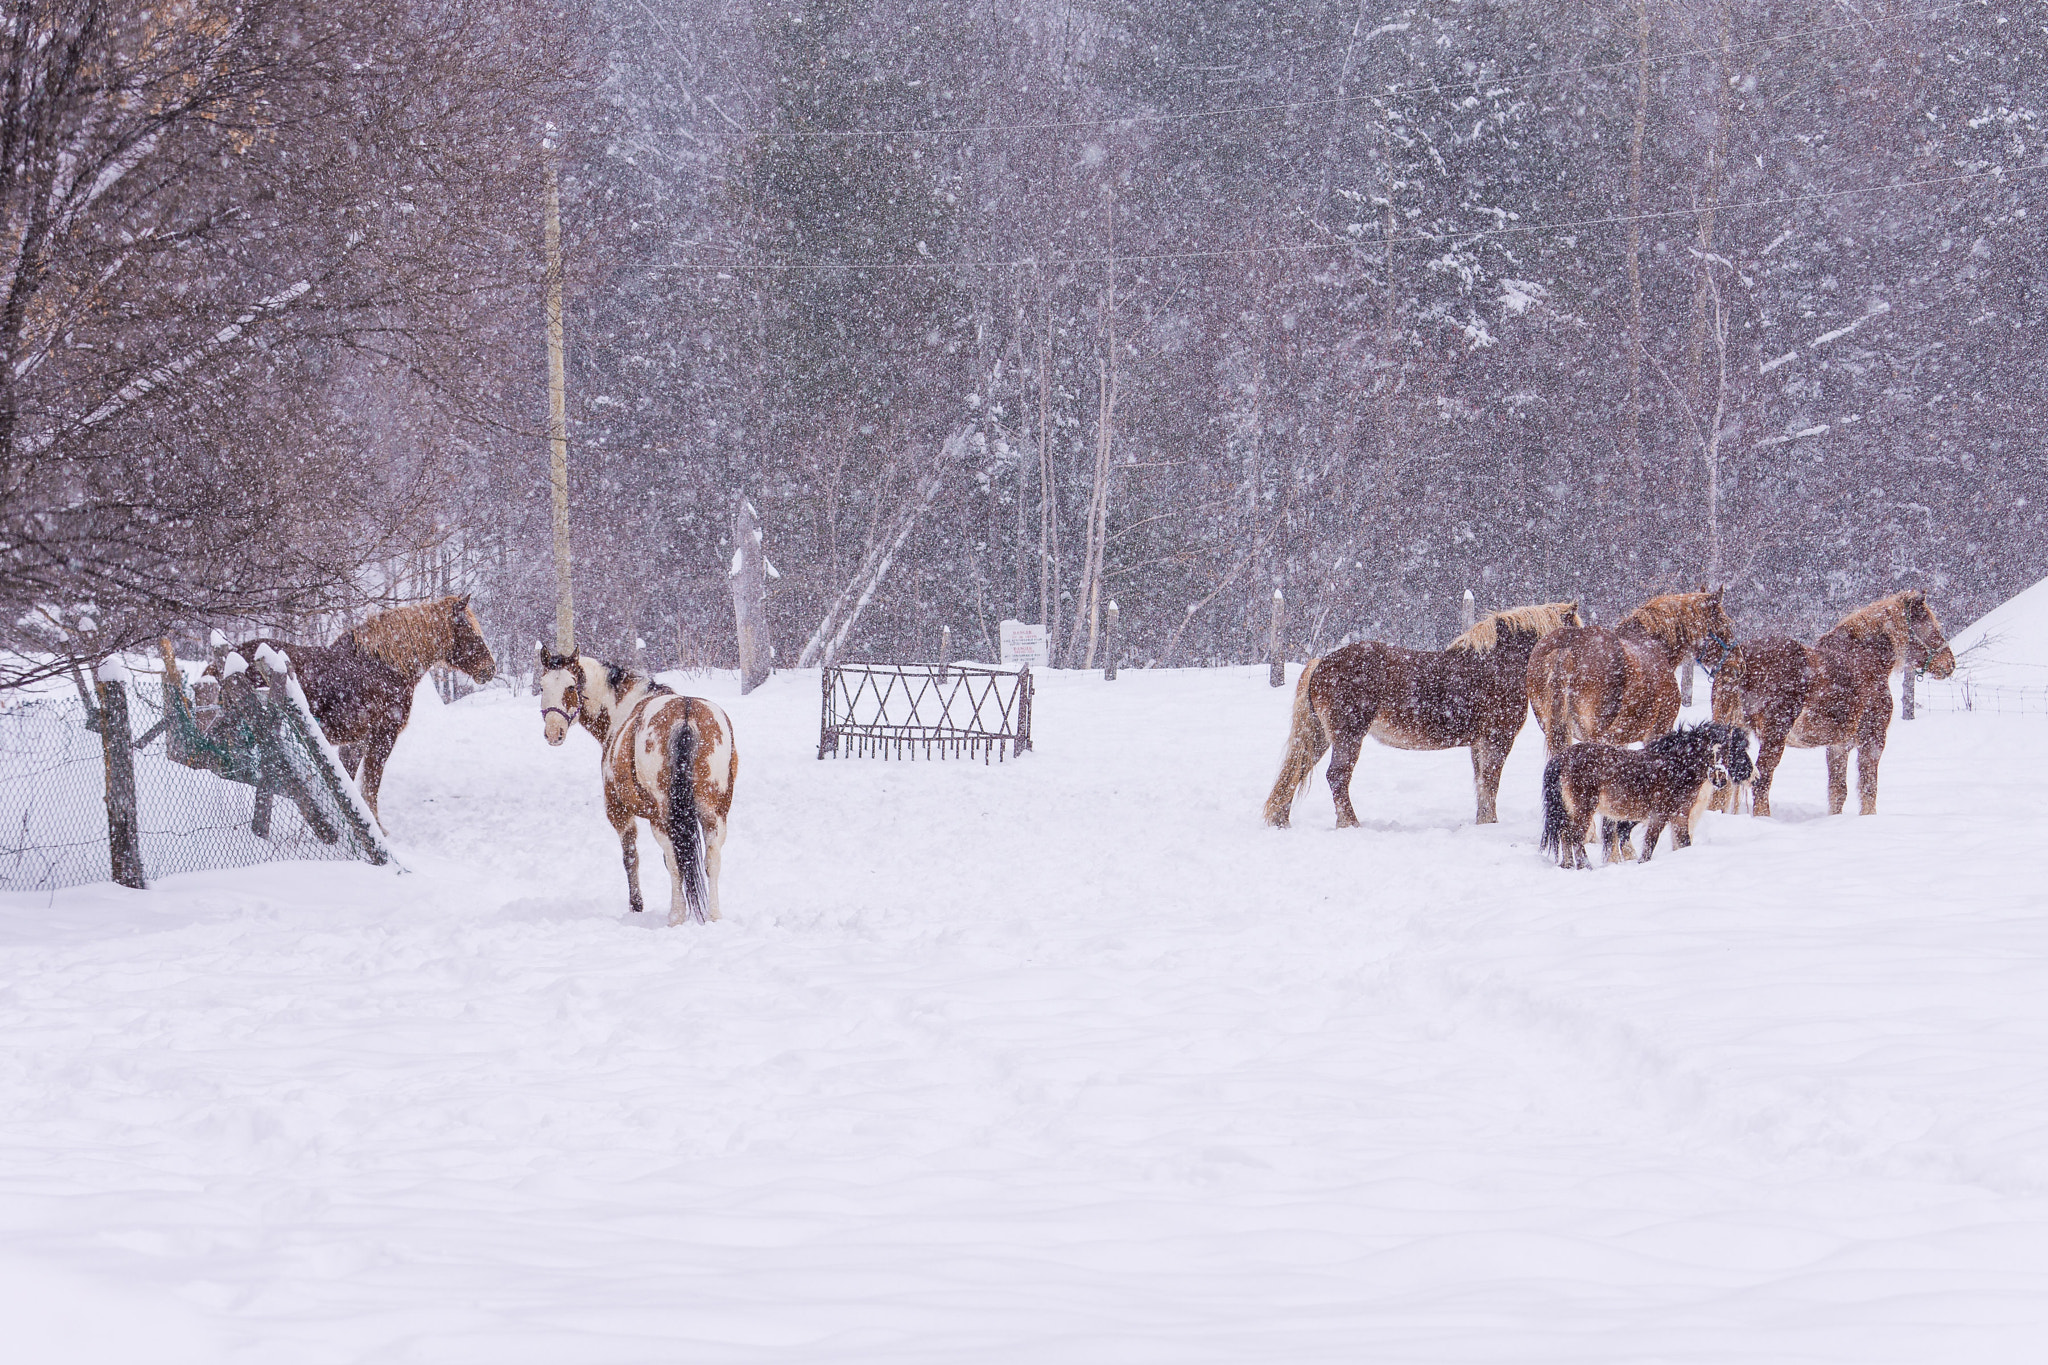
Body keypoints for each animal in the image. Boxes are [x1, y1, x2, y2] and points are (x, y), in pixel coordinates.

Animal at [214, 593, 493, 818]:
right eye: (468, 630)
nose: (490, 669)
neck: (384, 668)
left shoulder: (356, 740)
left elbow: (348, 782)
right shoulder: (383, 736)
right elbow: (370, 786)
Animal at [540, 646, 741, 925]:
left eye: (571, 686)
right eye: (542, 686)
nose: (553, 732)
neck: (624, 710)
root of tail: (687, 714)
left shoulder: (618, 811)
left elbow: (631, 857)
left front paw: (636, 906)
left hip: (662, 818)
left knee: (674, 861)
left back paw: (676, 915)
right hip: (715, 812)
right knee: (711, 859)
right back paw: (713, 915)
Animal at [1261, 601, 1581, 834]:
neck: (1498, 664)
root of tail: (1321, 663)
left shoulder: (1479, 744)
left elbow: (1481, 785)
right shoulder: (1497, 739)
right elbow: (1490, 783)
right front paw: (1490, 825)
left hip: (1320, 736)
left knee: (1297, 771)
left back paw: (1281, 820)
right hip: (1348, 737)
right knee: (1337, 777)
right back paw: (1350, 825)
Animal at [1540, 720, 1753, 871]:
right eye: (1734, 749)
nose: (1721, 780)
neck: (1676, 766)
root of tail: (1562, 758)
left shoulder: (1679, 817)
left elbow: (1684, 843)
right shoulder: (1659, 816)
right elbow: (1649, 846)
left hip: (1570, 809)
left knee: (1565, 834)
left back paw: (1569, 866)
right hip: (1584, 808)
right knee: (1575, 836)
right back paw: (1587, 867)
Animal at [1703, 589, 1957, 822]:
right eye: (1930, 625)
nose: (1950, 664)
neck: (1866, 659)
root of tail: (1738, 662)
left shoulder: (1838, 746)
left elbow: (1838, 791)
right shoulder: (1872, 740)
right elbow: (1868, 787)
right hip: (1774, 736)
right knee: (1762, 780)